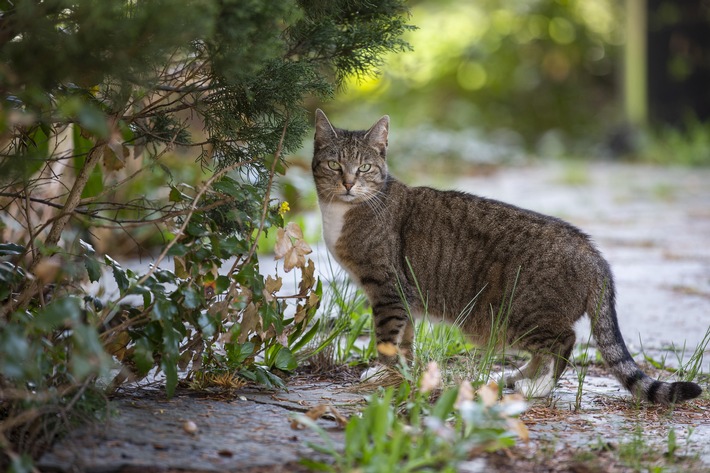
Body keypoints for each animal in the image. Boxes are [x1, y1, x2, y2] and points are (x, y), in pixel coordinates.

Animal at [314, 109, 704, 404]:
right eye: (334, 165)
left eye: (364, 168)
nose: (348, 183)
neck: (342, 212)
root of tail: (595, 254)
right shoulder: (405, 297)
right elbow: (405, 339)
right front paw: (402, 371)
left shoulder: (387, 290)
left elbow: (386, 337)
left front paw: (381, 370)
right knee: (545, 351)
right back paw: (514, 377)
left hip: (516, 313)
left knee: (564, 342)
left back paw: (536, 387)